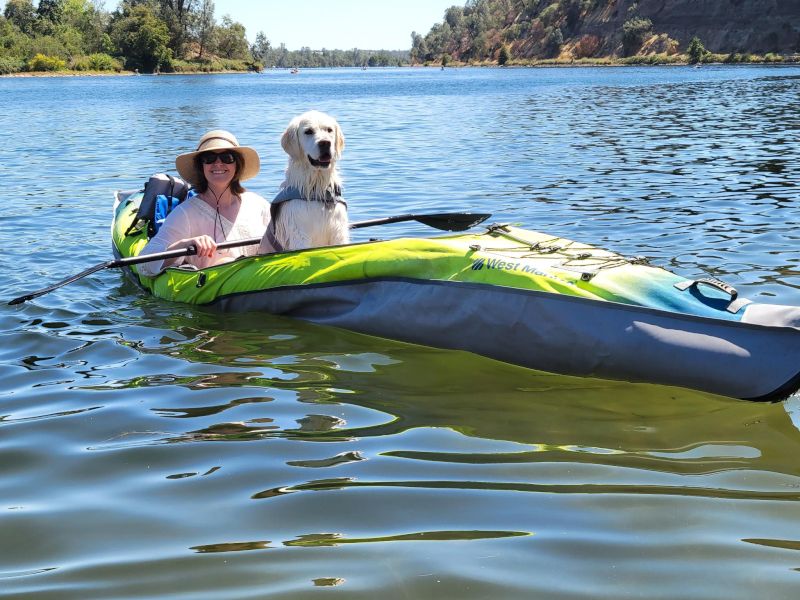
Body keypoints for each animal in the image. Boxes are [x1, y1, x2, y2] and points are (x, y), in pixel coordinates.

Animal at [260, 110, 348, 253]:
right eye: (308, 131)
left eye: (329, 130)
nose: (325, 143)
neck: (316, 188)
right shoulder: (299, 235)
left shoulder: (338, 231)